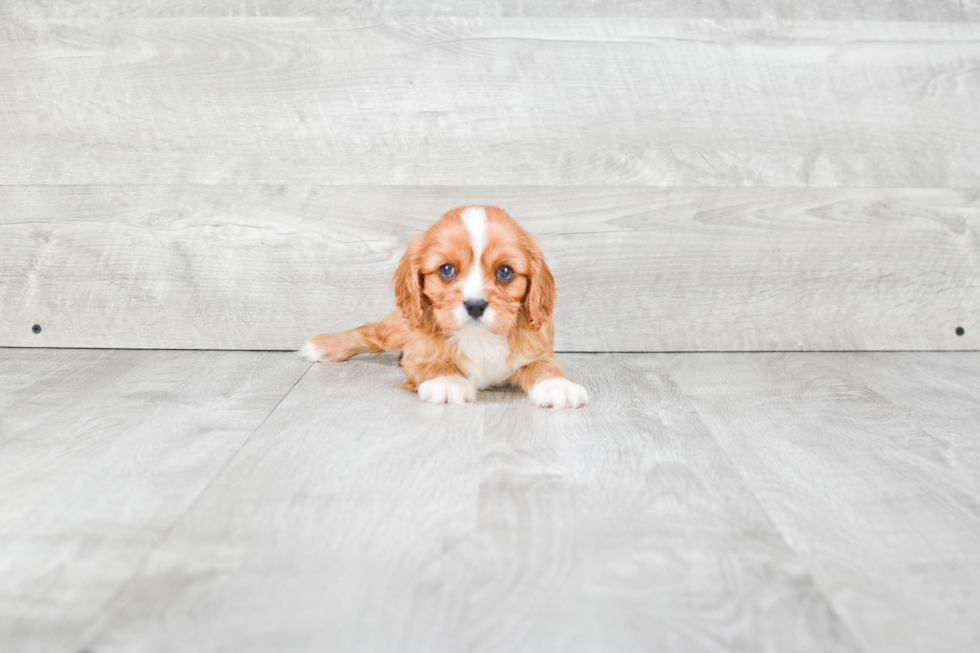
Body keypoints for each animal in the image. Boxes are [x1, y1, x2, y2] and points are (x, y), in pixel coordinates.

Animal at [302, 204, 584, 408]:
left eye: (505, 272)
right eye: (446, 270)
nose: (475, 306)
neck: (479, 338)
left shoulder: (539, 350)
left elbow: (545, 366)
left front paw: (558, 385)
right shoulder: (419, 355)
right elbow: (435, 363)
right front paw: (447, 382)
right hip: (398, 330)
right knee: (372, 332)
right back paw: (322, 347)